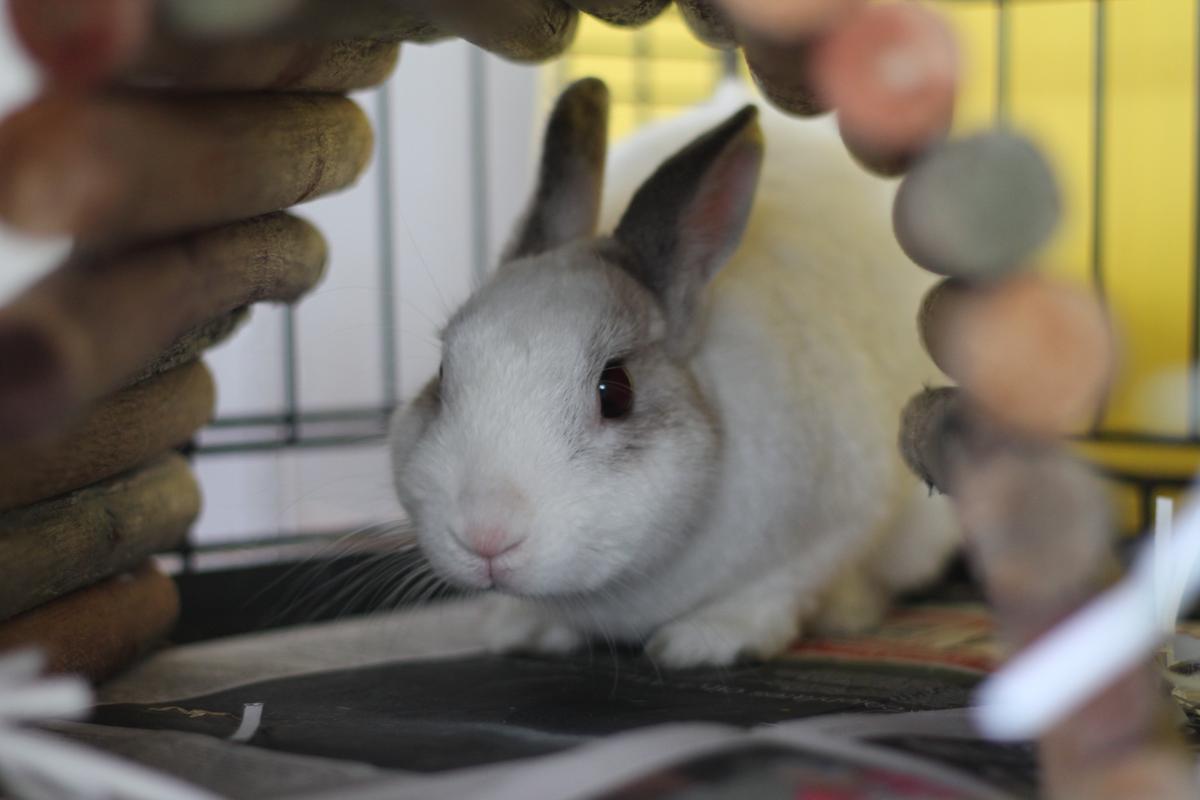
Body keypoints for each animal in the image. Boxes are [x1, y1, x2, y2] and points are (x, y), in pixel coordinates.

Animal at [388, 76, 959, 668]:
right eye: (442, 376)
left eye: (616, 392)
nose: (485, 537)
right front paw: (525, 630)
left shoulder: (838, 515)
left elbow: (781, 585)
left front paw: (707, 641)